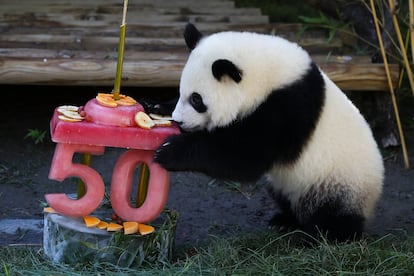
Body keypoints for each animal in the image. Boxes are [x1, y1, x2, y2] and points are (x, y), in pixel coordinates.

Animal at [153, 23, 384, 243]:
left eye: (196, 99)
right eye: (180, 92)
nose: (179, 120)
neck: (269, 74)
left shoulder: (287, 108)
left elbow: (245, 156)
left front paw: (170, 151)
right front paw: (157, 108)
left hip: (339, 182)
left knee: (333, 216)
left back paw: (322, 238)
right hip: (288, 183)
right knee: (285, 197)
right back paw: (285, 221)